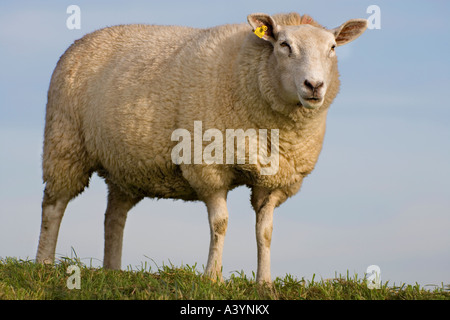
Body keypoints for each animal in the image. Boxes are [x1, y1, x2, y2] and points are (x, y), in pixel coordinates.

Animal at [37, 11, 368, 284]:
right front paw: (212, 278)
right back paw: (44, 263)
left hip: (125, 166)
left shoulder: (276, 180)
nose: (314, 86)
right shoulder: (209, 166)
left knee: (114, 217)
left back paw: (113, 270)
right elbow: (220, 223)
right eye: (284, 45)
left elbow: (265, 231)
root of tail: (83, 39)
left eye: (333, 48)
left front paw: (265, 283)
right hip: (64, 143)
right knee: (54, 206)